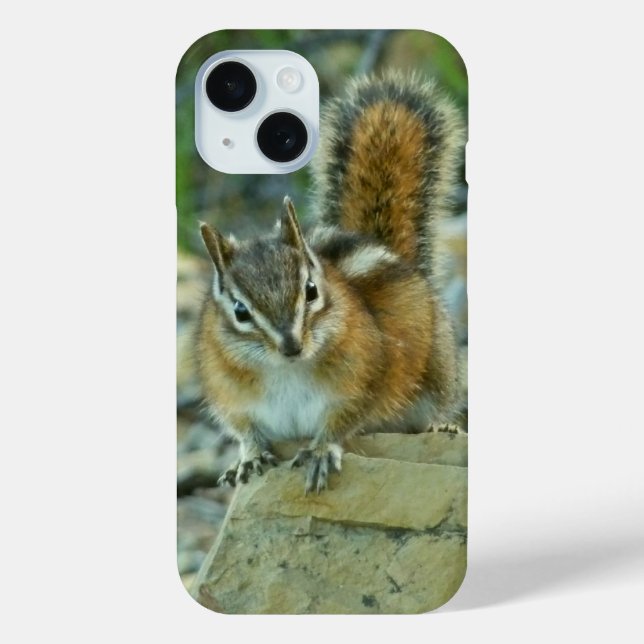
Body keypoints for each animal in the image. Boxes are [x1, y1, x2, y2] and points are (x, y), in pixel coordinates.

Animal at [197, 72, 466, 494]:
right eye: (240, 310)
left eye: (310, 291)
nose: (291, 346)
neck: (285, 371)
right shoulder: (230, 394)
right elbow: (244, 430)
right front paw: (249, 457)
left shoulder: (362, 381)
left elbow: (342, 421)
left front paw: (321, 450)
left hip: (438, 371)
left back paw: (441, 425)